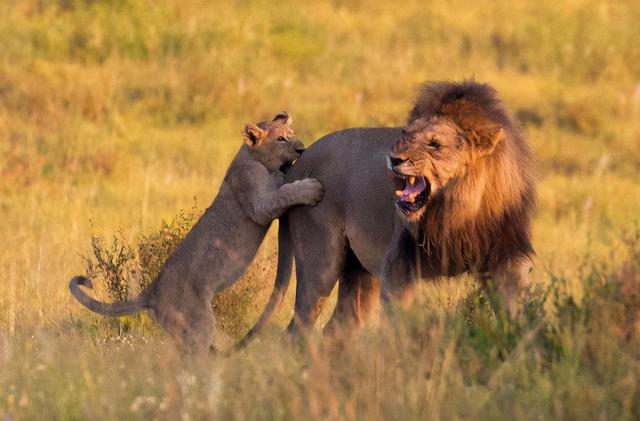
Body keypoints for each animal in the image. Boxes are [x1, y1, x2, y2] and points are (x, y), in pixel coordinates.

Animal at [69, 110, 324, 352]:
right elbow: (284, 192)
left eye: (292, 134)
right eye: (281, 139)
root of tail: (152, 291)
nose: (301, 149)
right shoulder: (258, 204)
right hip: (199, 323)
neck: (250, 156)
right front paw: (312, 188)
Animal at [245, 81, 536, 338]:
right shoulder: (399, 265)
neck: (455, 210)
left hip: (358, 271)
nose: (394, 159)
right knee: (298, 330)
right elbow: (399, 326)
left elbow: (517, 312)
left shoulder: (506, 255)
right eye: (406, 135)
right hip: (321, 261)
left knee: (337, 327)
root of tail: (300, 163)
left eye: (435, 145)